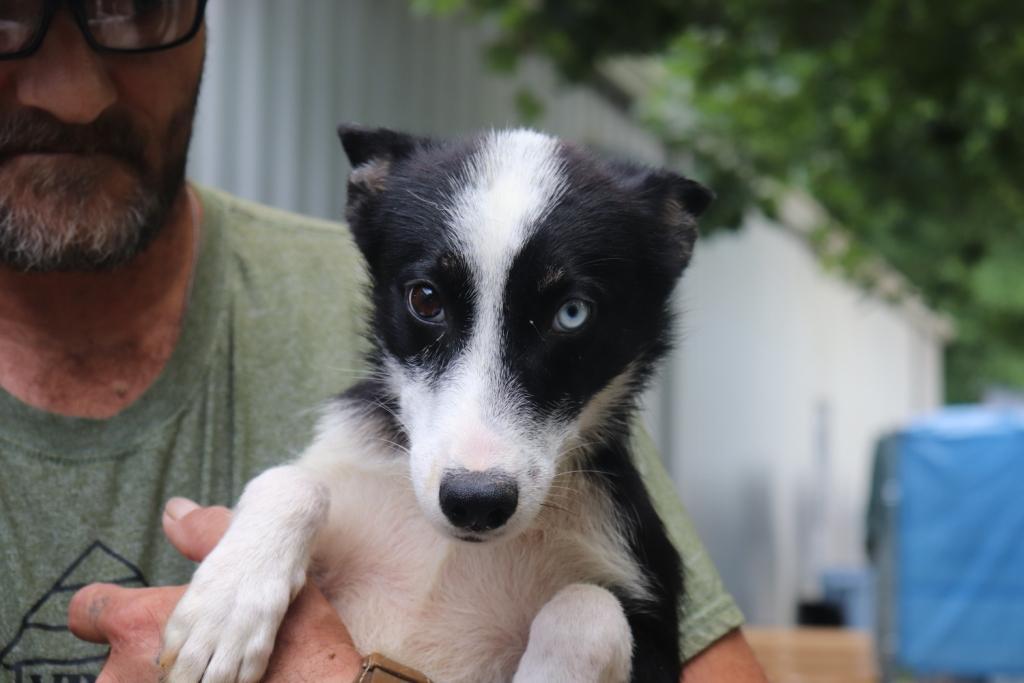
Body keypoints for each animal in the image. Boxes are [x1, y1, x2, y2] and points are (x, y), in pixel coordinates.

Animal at [161, 125, 712, 679]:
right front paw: (224, 611)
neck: (449, 549)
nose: (476, 502)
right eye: (425, 299)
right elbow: (292, 480)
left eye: (572, 313)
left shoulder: (648, 612)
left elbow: (589, 608)